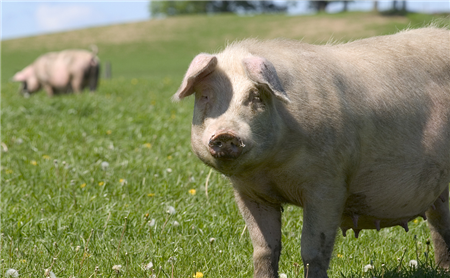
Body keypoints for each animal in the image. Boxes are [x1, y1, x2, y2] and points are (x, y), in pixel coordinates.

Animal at [175, 26, 450, 278]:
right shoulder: (250, 192)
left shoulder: (328, 185)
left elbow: (312, 250)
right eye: (205, 96)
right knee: (440, 223)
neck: (272, 170)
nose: (225, 134)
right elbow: (264, 249)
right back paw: (442, 269)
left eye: (255, 97)